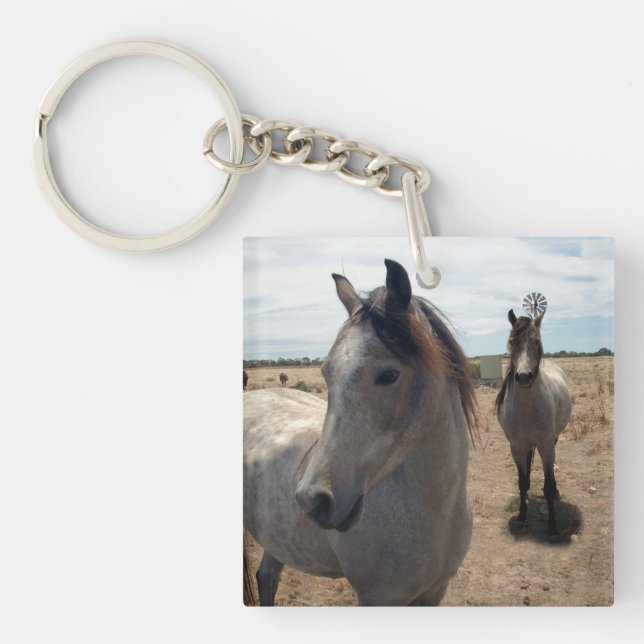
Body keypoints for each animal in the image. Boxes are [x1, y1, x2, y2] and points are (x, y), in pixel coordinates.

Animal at [244, 259, 477, 605]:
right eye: (327, 373)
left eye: (389, 374)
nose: (312, 500)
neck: (436, 514)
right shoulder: (377, 597)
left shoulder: (435, 592)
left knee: (267, 577)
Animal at [496, 308, 572, 540]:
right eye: (512, 342)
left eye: (536, 342)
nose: (523, 377)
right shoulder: (516, 447)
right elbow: (522, 482)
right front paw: (522, 517)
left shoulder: (546, 445)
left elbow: (546, 486)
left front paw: (553, 526)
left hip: (552, 441)